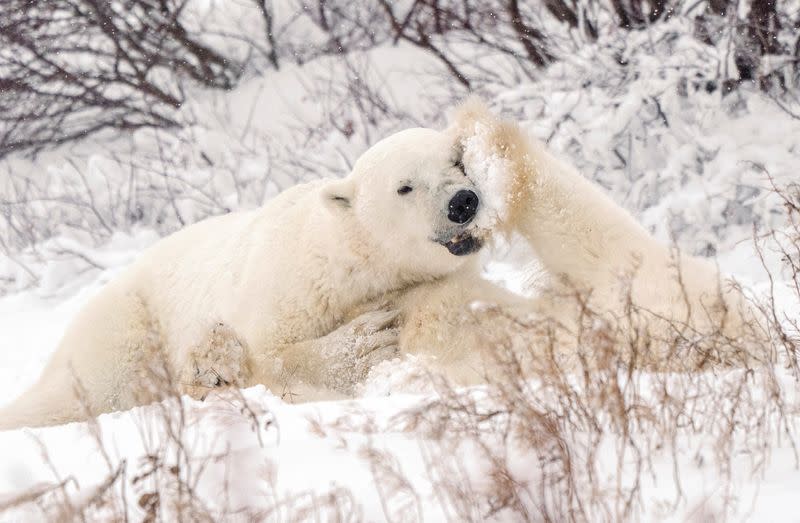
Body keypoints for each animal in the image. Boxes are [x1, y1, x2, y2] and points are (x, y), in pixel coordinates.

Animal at [0, 127, 500, 430]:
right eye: (405, 186)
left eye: (457, 162)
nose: (462, 202)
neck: (349, 262)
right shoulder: (287, 285)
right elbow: (267, 354)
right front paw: (365, 341)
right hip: (126, 324)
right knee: (86, 390)